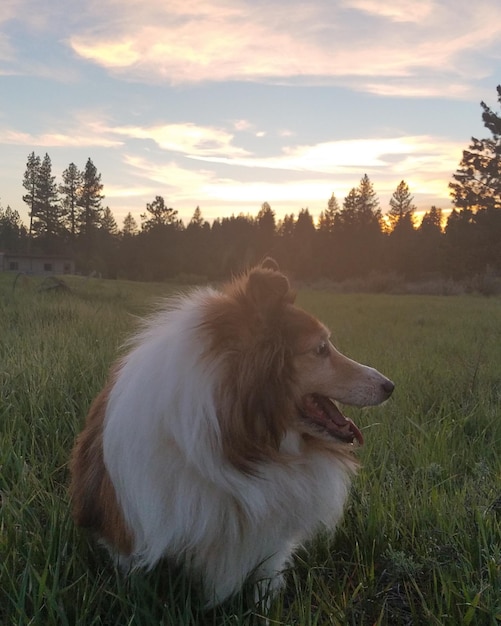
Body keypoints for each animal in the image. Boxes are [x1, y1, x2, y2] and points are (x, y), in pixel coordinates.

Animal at [69, 258, 390, 604]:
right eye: (320, 349)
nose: (390, 386)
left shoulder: (271, 539)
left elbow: (266, 575)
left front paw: (265, 604)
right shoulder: (129, 530)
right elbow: (132, 575)